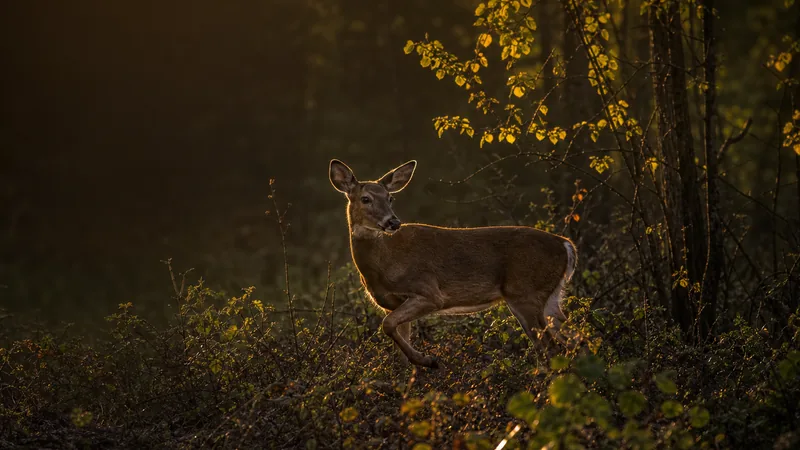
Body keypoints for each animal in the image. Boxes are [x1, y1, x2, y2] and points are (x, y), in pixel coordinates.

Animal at [329, 159, 577, 368]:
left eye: (391, 198)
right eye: (365, 199)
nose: (393, 222)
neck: (383, 265)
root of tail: (566, 245)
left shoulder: (429, 292)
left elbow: (387, 325)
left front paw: (427, 360)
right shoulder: (392, 303)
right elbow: (398, 346)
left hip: (526, 293)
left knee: (551, 348)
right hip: (549, 297)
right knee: (574, 340)